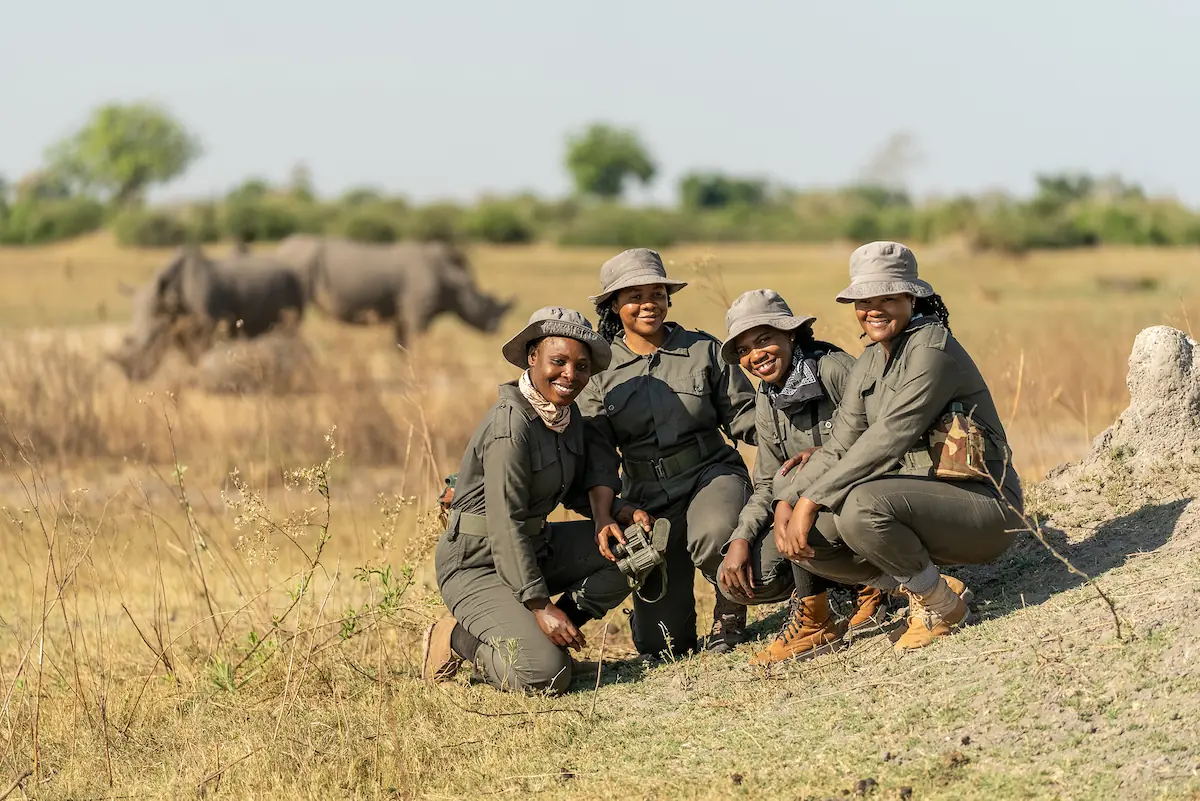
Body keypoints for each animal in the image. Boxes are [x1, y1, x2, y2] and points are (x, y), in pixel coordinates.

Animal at [108, 244, 307, 381]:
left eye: (152, 340)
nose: (133, 377)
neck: (171, 295)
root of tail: (293, 273)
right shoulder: (177, 326)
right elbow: (189, 354)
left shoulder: (206, 326)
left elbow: (201, 353)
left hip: (293, 289)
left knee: (290, 332)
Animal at [269, 235, 514, 350]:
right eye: (483, 302)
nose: (495, 328)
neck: (452, 278)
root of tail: (280, 249)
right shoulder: (418, 312)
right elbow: (416, 340)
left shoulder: (404, 314)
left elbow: (401, 343)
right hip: (298, 263)